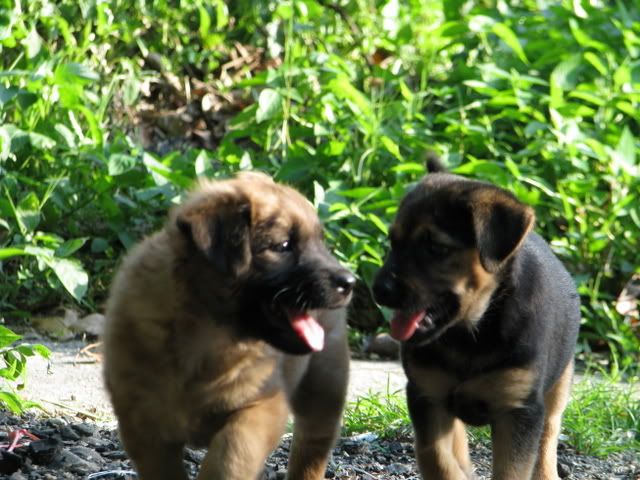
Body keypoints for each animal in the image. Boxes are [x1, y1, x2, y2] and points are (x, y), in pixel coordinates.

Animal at [103, 172, 355, 480]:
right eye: (283, 246)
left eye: (319, 242)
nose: (350, 282)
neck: (206, 333)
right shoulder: (142, 422)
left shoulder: (260, 405)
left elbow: (230, 454)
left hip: (325, 382)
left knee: (313, 445)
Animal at [372, 165, 580, 480]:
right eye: (392, 243)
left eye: (434, 247)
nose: (377, 290)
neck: (471, 334)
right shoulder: (426, 394)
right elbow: (434, 455)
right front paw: (453, 471)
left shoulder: (519, 410)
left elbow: (512, 470)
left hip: (559, 384)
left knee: (549, 435)